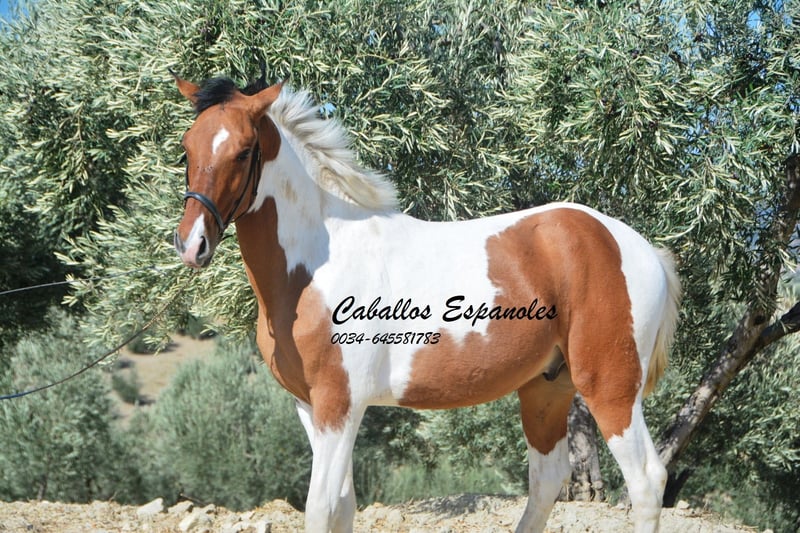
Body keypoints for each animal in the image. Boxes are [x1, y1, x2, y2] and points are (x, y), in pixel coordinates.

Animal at [171, 72, 681, 533]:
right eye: (187, 147)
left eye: (243, 151)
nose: (192, 244)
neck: (318, 263)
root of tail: (641, 249)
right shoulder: (310, 408)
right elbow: (343, 507)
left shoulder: (339, 406)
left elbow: (321, 510)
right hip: (547, 388)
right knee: (547, 482)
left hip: (610, 387)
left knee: (645, 480)